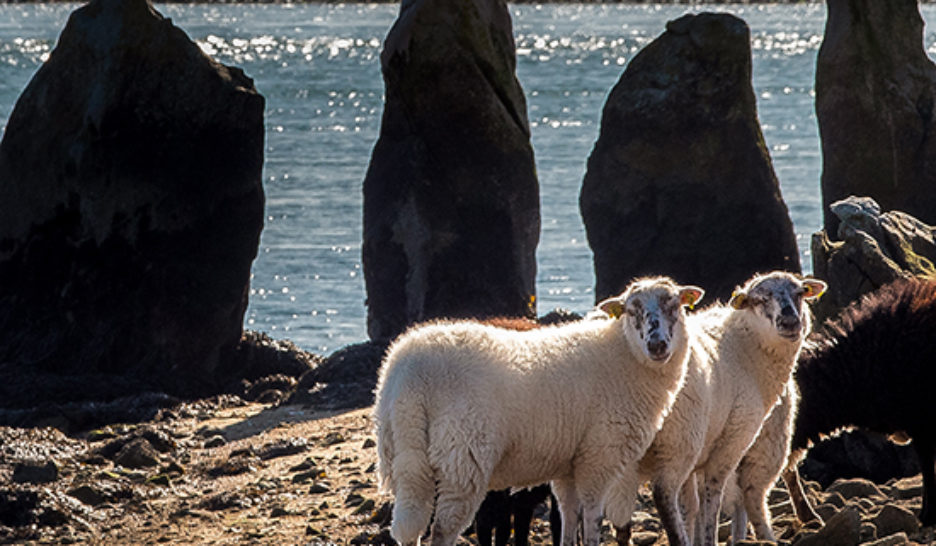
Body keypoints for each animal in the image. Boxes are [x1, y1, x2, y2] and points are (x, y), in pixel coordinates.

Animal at [372, 276, 704, 544]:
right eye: (631, 310)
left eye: (675, 305)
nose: (657, 345)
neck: (623, 355)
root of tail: (410, 373)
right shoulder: (599, 456)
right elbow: (592, 518)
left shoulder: (569, 464)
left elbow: (569, 517)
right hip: (462, 460)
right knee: (443, 528)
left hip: (404, 454)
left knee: (409, 525)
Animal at [608, 272, 820, 544]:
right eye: (759, 300)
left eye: (800, 293)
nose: (790, 322)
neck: (744, 346)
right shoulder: (732, 439)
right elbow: (715, 496)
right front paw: (709, 537)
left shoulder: (701, 451)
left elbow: (693, 504)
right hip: (687, 442)